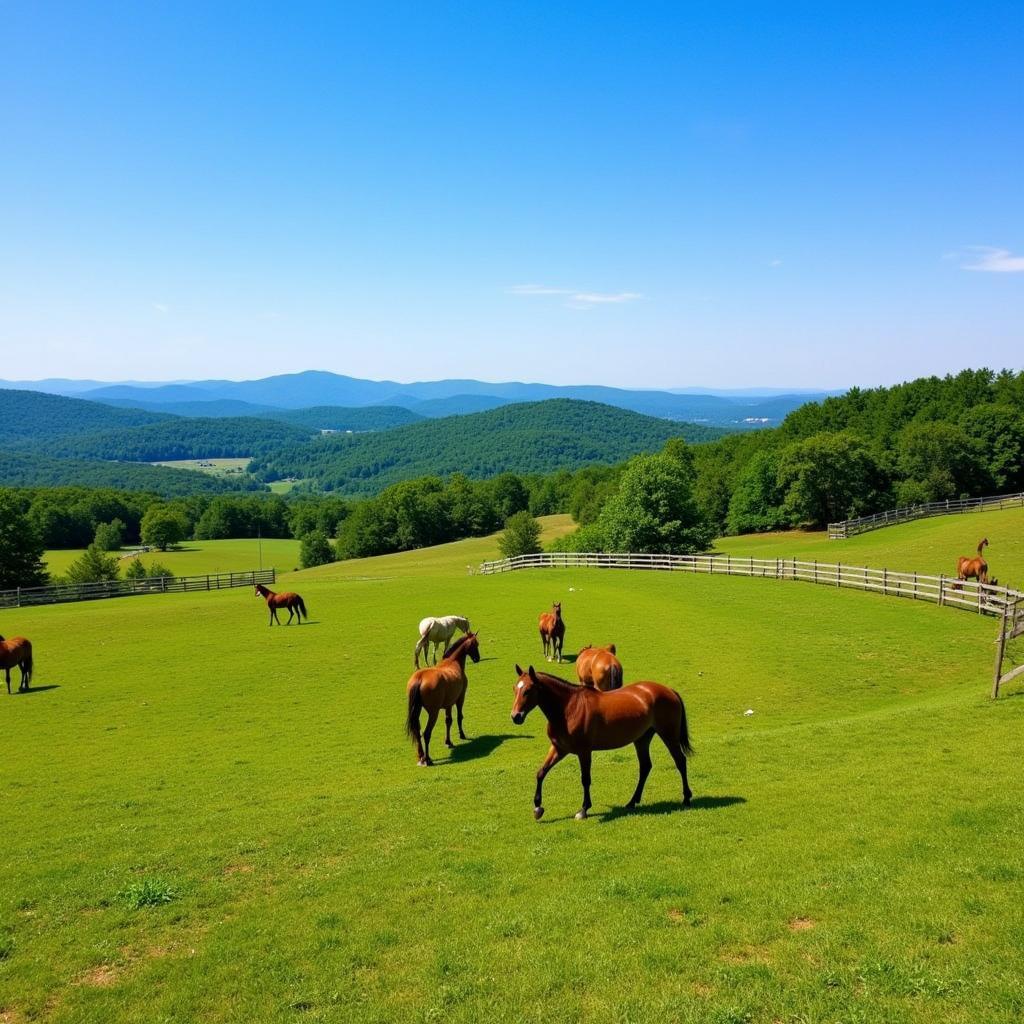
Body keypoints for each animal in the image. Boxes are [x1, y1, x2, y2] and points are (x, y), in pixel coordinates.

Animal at [403, 630, 479, 770]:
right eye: (476, 644)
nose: (477, 658)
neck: (452, 662)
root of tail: (420, 678)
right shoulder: (460, 698)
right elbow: (459, 717)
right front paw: (462, 735)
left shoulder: (448, 704)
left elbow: (448, 721)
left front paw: (448, 741)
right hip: (433, 713)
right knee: (426, 733)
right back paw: (427, 759)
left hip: (418, 711)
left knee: (417, 731)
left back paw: (421, 756)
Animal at [512, 663, 696, 823]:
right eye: (515, 689)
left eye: (528, 690)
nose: (515, 716)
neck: (569, 708)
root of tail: (669, 690)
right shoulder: (559, 749)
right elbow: (541, 772)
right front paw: (538, 808)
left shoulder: (584, 752)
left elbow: (585, 779)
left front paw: (584, 810)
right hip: (642, 739)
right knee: (645, 767)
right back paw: (632, 802)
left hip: (668, 735)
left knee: (680, 761)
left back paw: (686, 798)